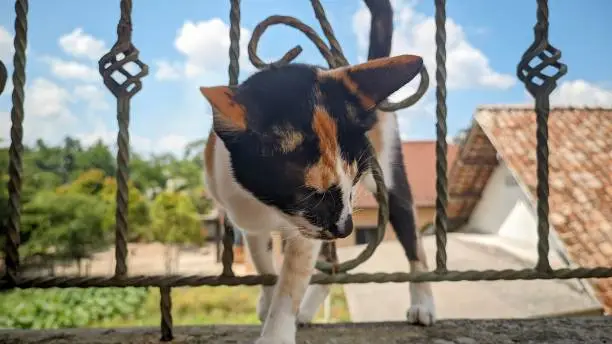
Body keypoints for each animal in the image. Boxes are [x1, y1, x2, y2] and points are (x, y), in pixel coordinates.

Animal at [201, 0, 436, 342]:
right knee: (331, 260)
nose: (347, 229)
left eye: (354, 182)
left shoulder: (310, 232)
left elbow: (291, 281)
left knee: (413, 240)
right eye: (308, 195)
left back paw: (423, 303)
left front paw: (276, 331)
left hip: (389, 178)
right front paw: (268, 301)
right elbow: (265, 266)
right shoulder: (256, 225)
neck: (269, 207)